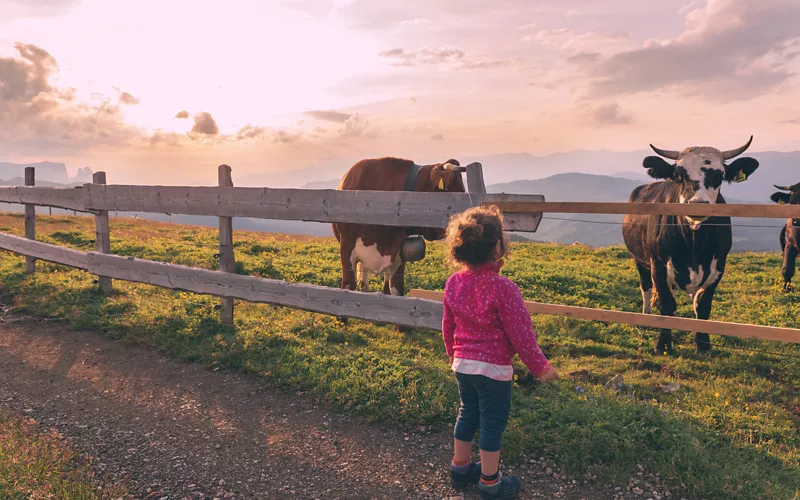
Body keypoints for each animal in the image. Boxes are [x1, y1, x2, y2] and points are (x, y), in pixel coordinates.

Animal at [332, 156, 468, 328]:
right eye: (455, 191)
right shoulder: (347, 245)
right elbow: (348, 284)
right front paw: (341, 320)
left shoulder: (397, 248)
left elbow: (397, 287)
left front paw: (401, 326)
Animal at [620, 137, 760, 354]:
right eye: (678, 176)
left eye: (719, 176)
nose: (697, 204)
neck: (695, 244)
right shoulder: (658, 266)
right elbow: (667, 305)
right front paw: (663, 344)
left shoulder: (718, 267)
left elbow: (702, 305)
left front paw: (702, 343)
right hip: (639, 259)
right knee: (646, 287)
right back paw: (646, 316)